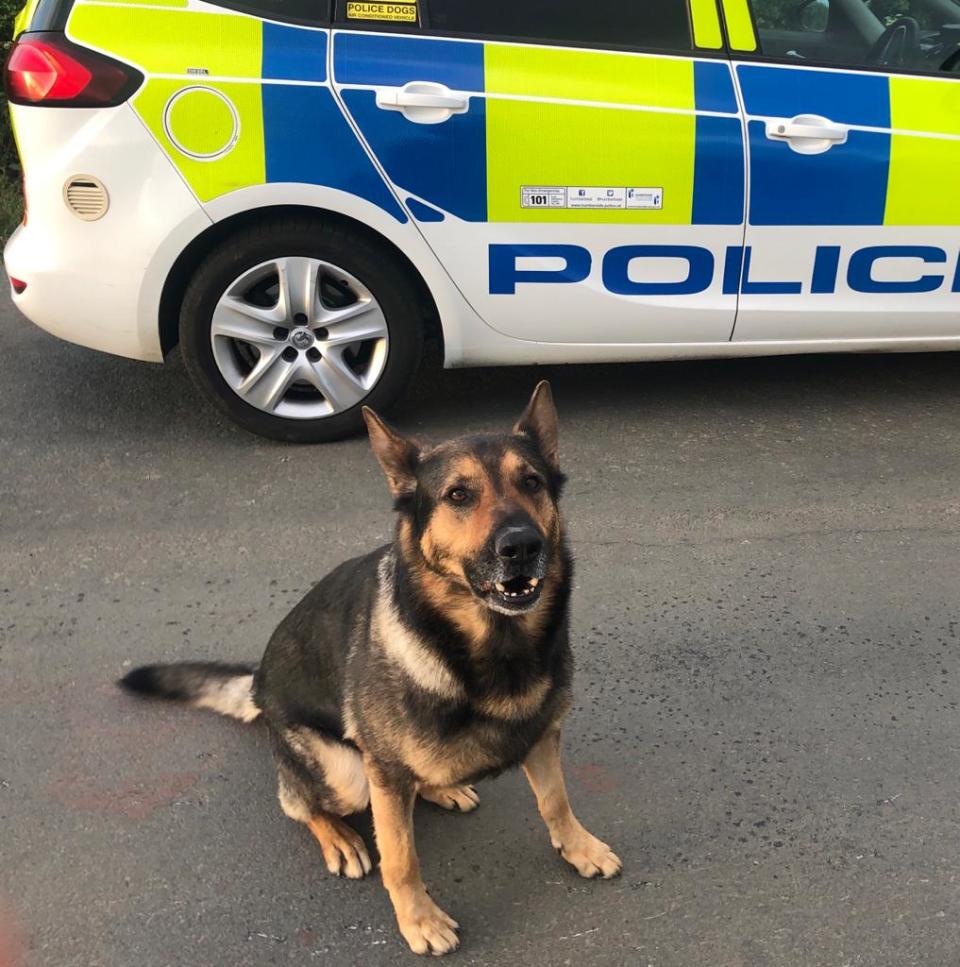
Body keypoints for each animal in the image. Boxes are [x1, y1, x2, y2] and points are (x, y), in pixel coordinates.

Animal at [120, 382, 624, 956]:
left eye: (532, 482)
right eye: (458, 495)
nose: (522, 545)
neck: (491, 644)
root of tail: (258, 687)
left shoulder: (543, 736)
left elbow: (556, 802)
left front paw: (579, 848)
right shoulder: (383, 774)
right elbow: (400, 858)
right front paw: (419, 920)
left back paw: (441, 787)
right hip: (347, 774)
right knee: (300, 803)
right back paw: (339, 836)